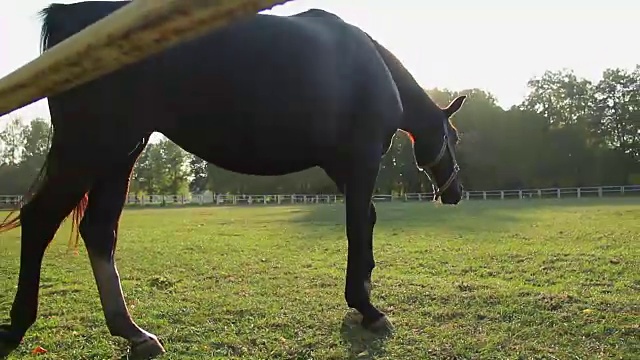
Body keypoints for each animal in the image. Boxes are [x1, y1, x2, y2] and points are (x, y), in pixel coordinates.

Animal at [1, 1, 470, 358]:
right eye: (454, 135)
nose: (456, 192)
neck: (370, 65)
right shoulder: (361, 162)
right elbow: (359, 226)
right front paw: (368, 307)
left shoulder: (344, 169)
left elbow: (366, 221)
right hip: (93, 148)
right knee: (40, 219)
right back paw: (19, 324)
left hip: (121, 154)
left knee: (98, 231)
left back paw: (133, 333)